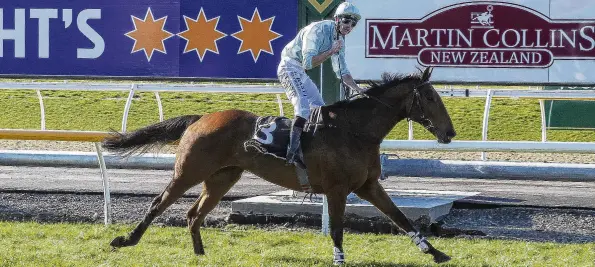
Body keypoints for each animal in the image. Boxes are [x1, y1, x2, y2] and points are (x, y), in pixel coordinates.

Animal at [102, 67, 456, 266]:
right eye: (432, 98)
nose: (450, 132)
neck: (354, 130)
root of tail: (201, 118)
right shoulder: (337, 189)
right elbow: (338, 228)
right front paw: (339, 259)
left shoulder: (368, 186)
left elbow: (400, 217)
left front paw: (435, 252)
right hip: (189, 171)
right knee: (158, 204)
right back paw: (125, 240)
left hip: (221, 178)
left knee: (193, 214)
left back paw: (200, 254)